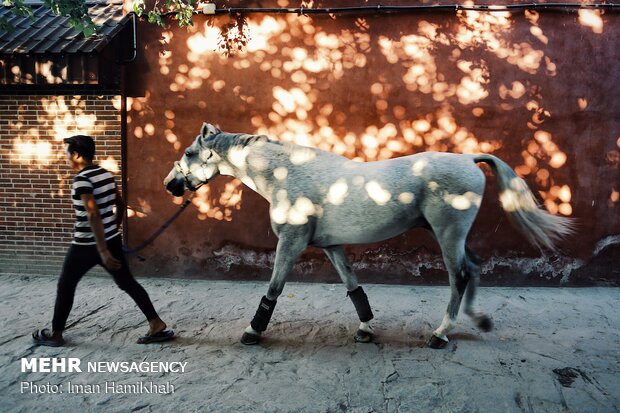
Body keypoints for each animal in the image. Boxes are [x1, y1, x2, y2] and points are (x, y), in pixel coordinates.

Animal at [163, 122, 572, 348]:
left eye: (189, 152)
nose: (171, 185)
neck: (287, 175)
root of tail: (469, 159)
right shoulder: (331, 246)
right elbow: (352, 286)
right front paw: (365, 328)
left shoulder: (291, 242)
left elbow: (274, 288)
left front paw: (252, 332)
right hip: (453, 236)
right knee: (473, 269)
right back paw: (479, 321)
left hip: (447, 234)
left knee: (459, 276)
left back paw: (440, 334)